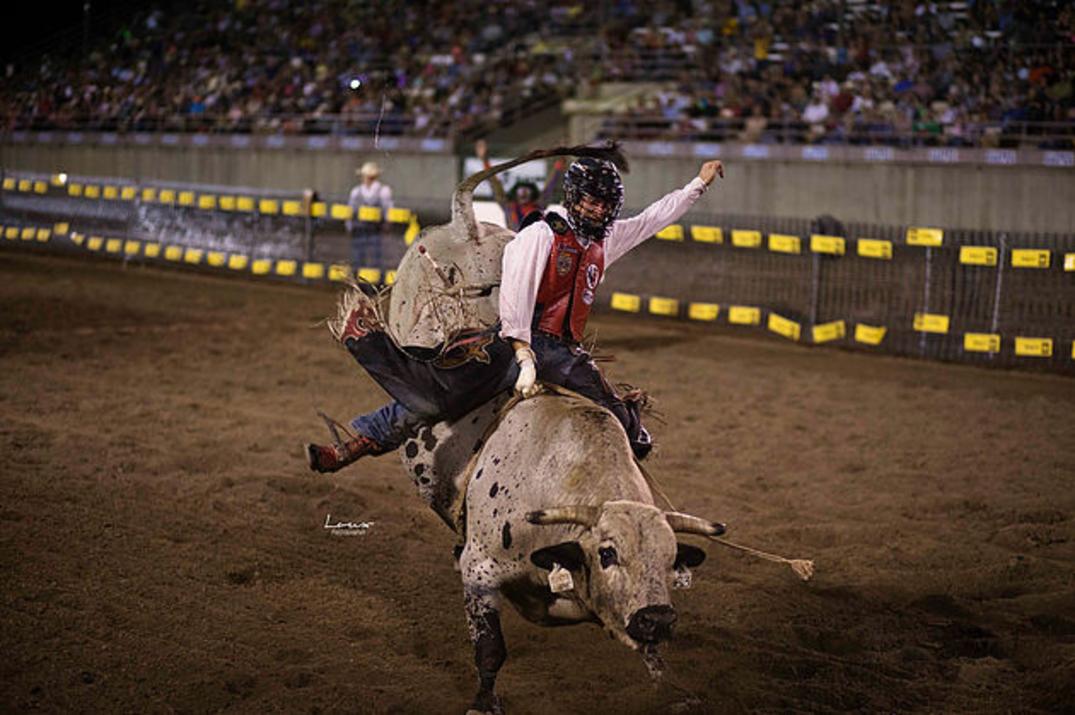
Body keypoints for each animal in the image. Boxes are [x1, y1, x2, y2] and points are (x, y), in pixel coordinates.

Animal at [318, 145, 812, 713]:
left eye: (670, 557)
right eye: (608, 553)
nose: (657, 618)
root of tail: (468, 224)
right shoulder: (480, 572)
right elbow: (490, 647)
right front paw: (483, 700)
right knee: (418, 394)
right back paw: (355, 348)